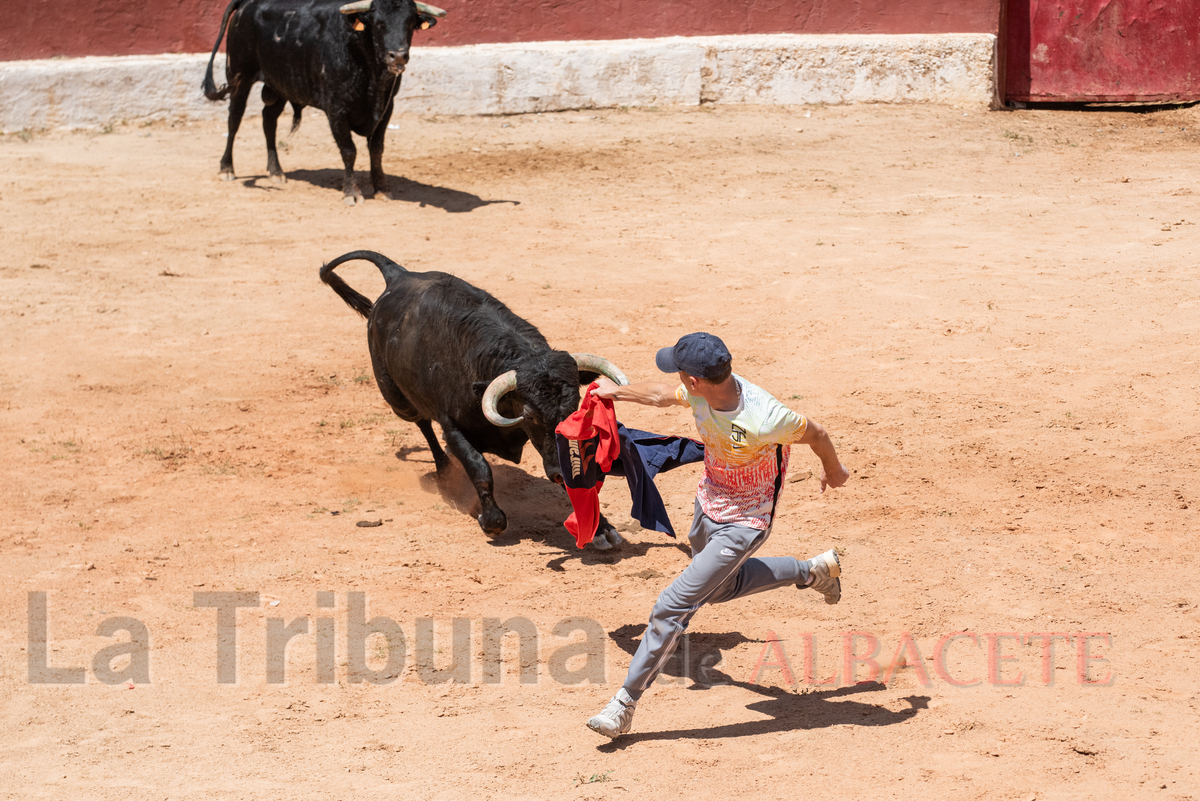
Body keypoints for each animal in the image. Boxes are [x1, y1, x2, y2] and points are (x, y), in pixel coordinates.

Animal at [201, 0, 446, 203]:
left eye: (411, 23)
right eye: (378, 23)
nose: (398, 56)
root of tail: (247, 3)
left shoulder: (387, 107)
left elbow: (376, 149)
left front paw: (381, 190)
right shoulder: (336, 109)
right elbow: (349, 150)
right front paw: (352, 193)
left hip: (279, 84)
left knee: (269, 120)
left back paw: (276, 171)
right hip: (240, 76)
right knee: (235, 118)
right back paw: (227, 169)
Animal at [321, 250, 638, 551]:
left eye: (575, 409)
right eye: (530, 415)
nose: (561, 473)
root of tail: (397, 274)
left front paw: (601, 528)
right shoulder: (452, 426)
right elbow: (479, 467)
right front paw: (492, 520)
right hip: (398, 400)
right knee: (423, 423)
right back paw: (444, 470)